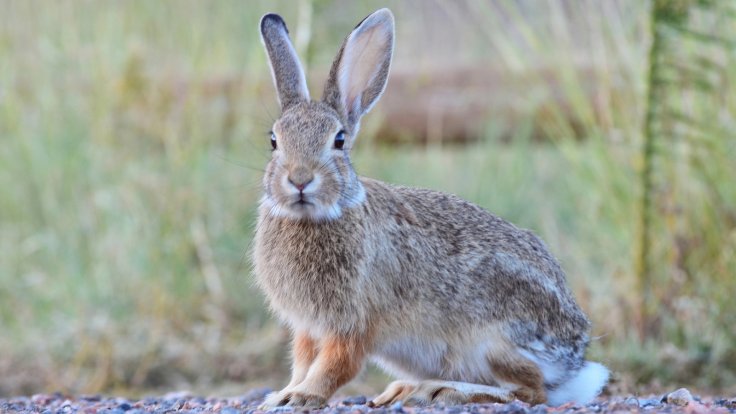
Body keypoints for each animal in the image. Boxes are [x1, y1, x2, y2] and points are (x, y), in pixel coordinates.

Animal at [253, 8, 609, 409]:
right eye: (274, 140)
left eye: (339, 140)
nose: (299, 180)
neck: (318, 215)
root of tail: (574, 363)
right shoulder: (307, 328)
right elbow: (302, 361)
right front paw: (282, 393)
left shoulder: (354, 325)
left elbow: (335, 367)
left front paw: (301, 396)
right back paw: (407, 389)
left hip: (492, 340)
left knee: (532, 390)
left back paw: (440, 390)